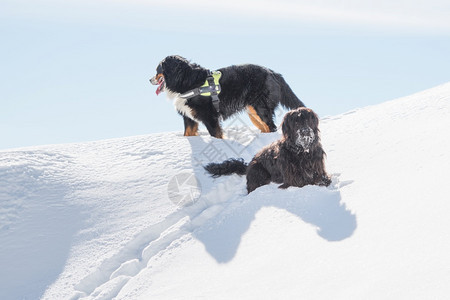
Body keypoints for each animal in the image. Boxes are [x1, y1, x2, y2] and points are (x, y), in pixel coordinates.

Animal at [149, 55, 304, 138]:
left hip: (261, 109)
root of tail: (272, 72)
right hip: (253, 112)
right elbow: (188, 134)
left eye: (158, 70)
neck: (186, 81)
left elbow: (216, 135)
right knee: (266, 128)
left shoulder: (210, 117)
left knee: (271, 127)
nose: (149, 80)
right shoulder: (189, 118)